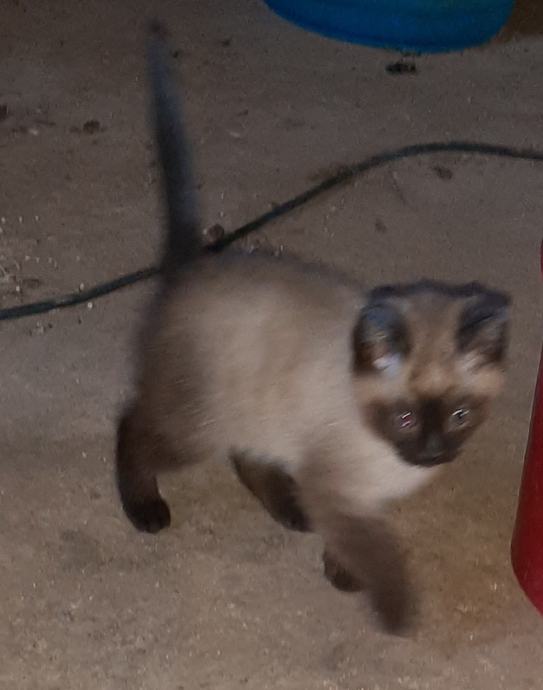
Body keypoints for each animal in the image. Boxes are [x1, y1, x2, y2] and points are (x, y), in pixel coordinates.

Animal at [116, 23, 510, 634]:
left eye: (461, 416)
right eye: (404, 419)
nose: (432, 452)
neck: (387, 463)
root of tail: (195, 267)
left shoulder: (359, 496)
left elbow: (357, 539)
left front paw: (341, 571)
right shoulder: (337, 490)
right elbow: (378, 553)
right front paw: (394, 611)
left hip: (255, 413)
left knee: (247, 456)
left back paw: (288, 510)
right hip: (196, 426)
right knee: (132, 427)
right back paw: (145, 510)